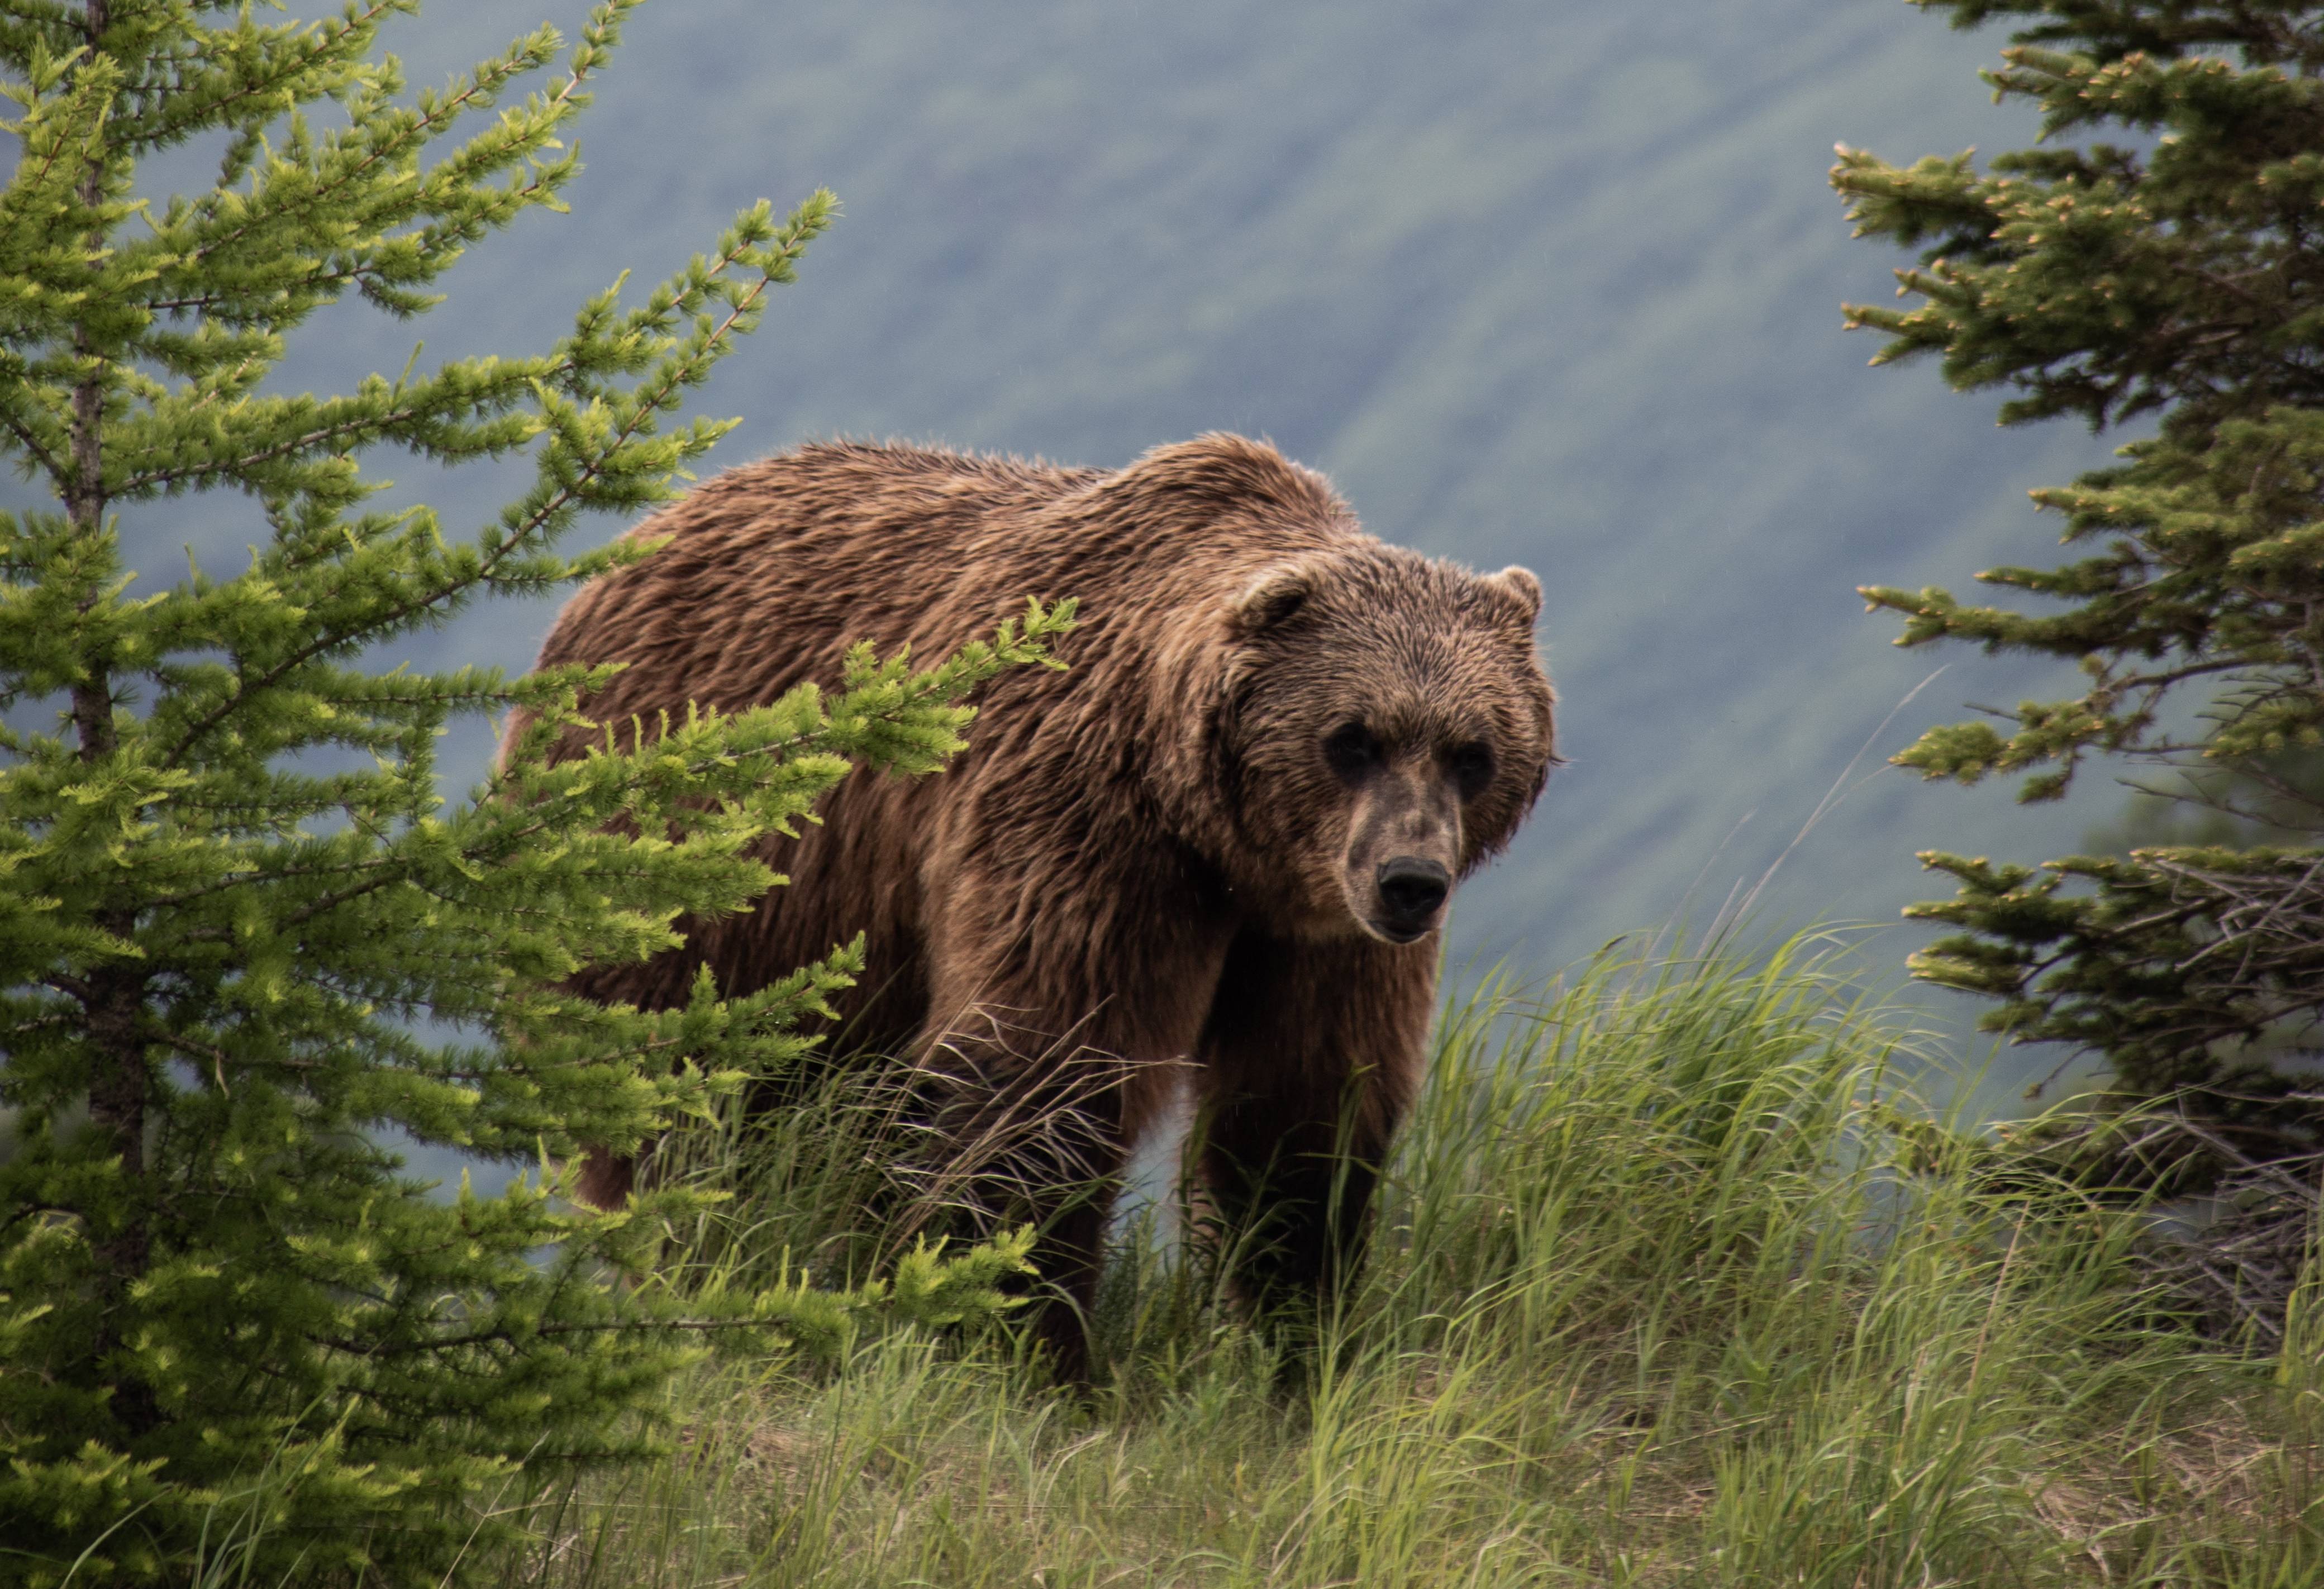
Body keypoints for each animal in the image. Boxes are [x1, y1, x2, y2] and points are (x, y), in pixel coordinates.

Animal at [518, 432, 1552, 1375]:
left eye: (1473, 751)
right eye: (1353, 738)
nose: (1410, 880)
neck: (1217, 836)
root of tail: (642, 536)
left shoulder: (1317, 929)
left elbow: (1300, 1112)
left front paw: (1291, 1342)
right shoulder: (1084, 828)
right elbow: (1041, 1075)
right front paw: (1026, 1347)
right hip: (699, 881)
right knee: (693, 1108)